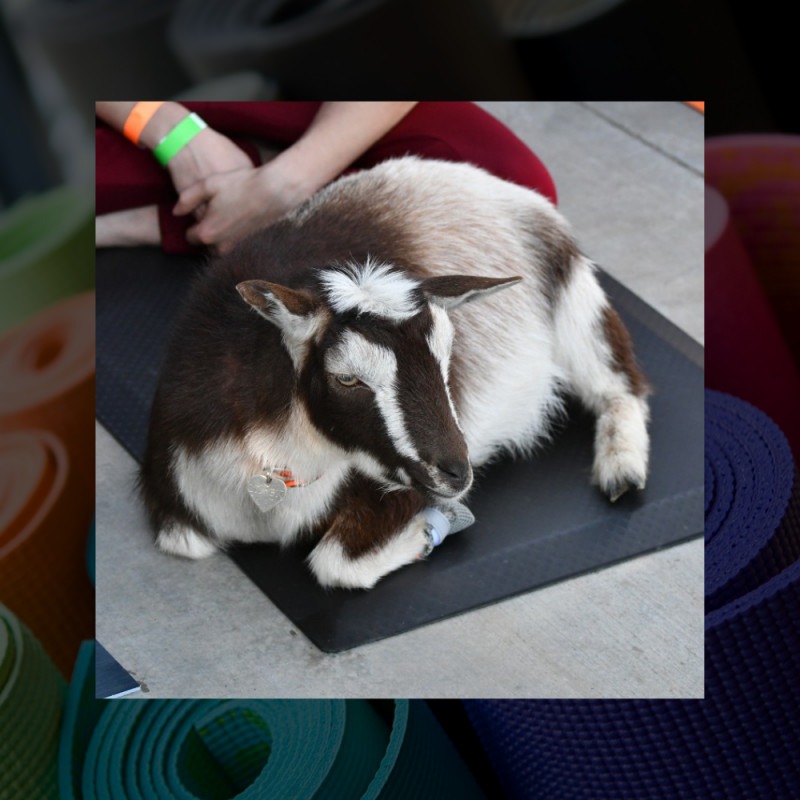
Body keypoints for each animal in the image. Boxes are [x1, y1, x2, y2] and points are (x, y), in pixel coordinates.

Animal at [139, 156, 650, 589]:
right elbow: (186, 543)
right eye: (347, 378)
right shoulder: (176, 497)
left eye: (446, 357)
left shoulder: (397, 487)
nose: (456, 474)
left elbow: (334, 564)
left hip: (574, 296)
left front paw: (432, 529)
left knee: (620, 385)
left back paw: (621, 468)